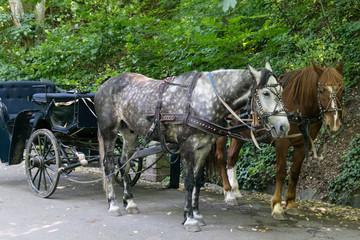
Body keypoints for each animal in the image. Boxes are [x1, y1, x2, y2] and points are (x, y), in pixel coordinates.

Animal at [95, 62, 290, 232]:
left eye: (281, 91)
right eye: (266, 93)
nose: (284, 126)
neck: (204, 98)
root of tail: (104, 85)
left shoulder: (204, 148)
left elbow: (197, 181)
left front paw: (196, 214)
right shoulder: (187, 146)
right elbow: (188, 181)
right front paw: (189, 219)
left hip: (129, 133)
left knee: (124, 163)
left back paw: (130, 202)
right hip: (109, 132)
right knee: (109, 165)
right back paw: (113, 205)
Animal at [212, 61, 344, 219]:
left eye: (342, 90)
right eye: (321, 91)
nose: (334, 123)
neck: (298, 105)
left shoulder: (301, 145)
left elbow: (295, 173)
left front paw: (291, 203)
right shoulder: (282, 142)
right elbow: (280, 172)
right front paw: (277, 206)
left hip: (241, 135)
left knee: (232, 157)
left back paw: (236, 192)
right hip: (221, 133)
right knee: (221, 158)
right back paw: (228, 193)